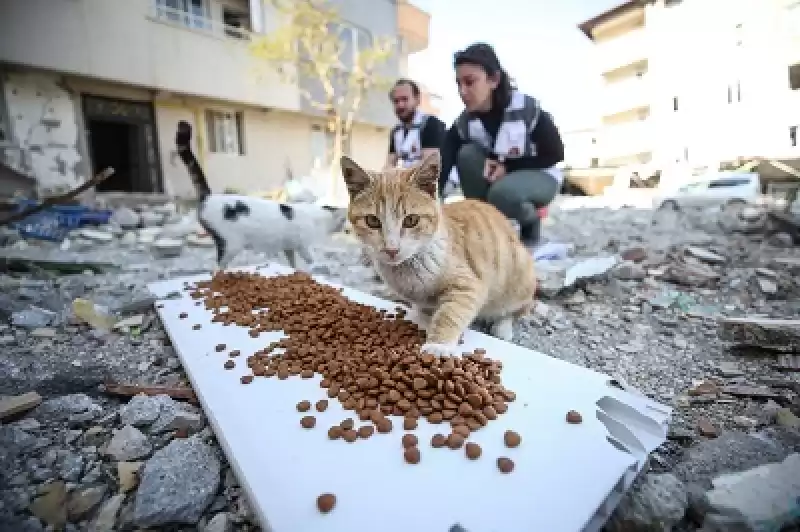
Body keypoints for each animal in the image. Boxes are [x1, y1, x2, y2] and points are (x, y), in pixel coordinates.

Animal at [173, 121, 346, 270]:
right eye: (344, 220)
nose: (345, 228)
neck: (319, 216)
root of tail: (209, 197)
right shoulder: (302, 246)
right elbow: (310, 258)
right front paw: (317, 265)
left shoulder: (289, 247)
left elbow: (292, 263)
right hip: (231, 244)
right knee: (216, 269)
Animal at [340, 152, 536, 356]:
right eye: (372, 221)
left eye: (411, 220)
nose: (391, 249)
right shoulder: (423, 301)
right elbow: (427, 312)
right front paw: (423, 322)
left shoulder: (468, 286)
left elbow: (449, 314)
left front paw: (438, 345)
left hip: (518, 279)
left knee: (519, 310)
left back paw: (503, 327)